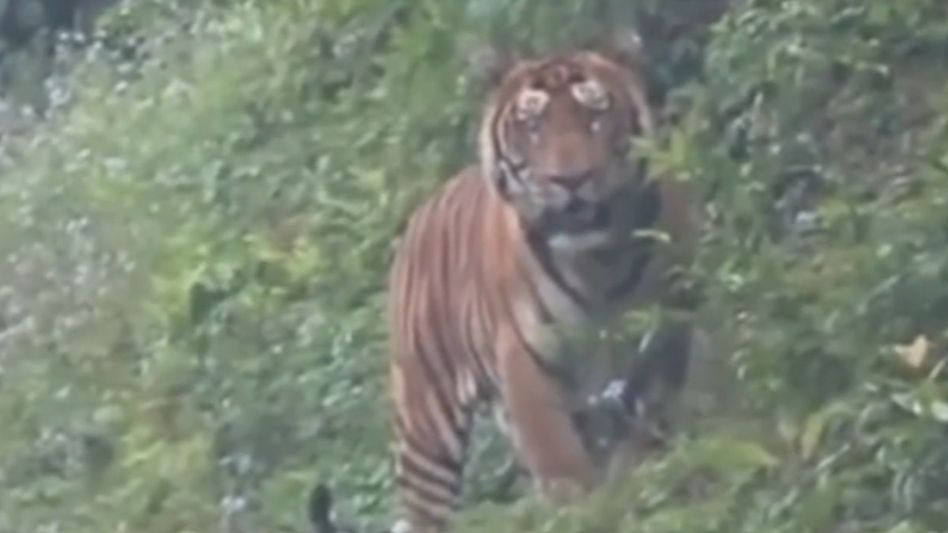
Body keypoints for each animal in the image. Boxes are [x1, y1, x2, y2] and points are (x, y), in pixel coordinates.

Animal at [339, 31, 700, 533]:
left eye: (596, 114)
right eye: (533, 125)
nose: (571, 179)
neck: (600, 261)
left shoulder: (664, 332)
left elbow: (644, 436)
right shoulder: (529, 362)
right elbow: (563, 467)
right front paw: (588, 513)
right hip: (426, 423)